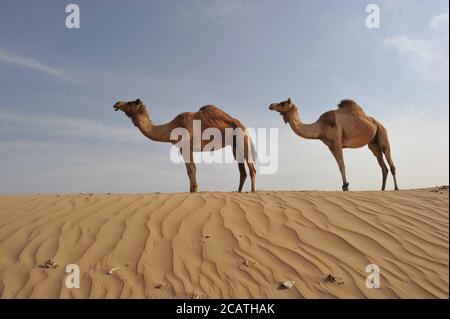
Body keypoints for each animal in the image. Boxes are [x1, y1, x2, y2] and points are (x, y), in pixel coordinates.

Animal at [113, 99, 256, 192]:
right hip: (234, 145)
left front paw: (194, 190)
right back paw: (238, 192)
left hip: (242, 139)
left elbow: (190, 169)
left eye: (130, 102)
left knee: (251, 168)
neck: (171, 128)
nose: (117, 103)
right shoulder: (188, 148)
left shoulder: (184, 145)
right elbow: (192, 168)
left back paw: (253, 191)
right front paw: (194, 189)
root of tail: (242, 125)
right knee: (242, 171)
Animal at [268, 99, 400, 191]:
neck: (321, 127)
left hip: (382, 134)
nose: (271, 105)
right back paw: (382, 189)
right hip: (373, 145)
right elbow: (339, 166)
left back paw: (396, 188)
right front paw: (344, 185)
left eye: (283, 103)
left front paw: (346, 186)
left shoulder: (337, 141)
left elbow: (342, 165)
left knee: (390, 162)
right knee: (383, 166)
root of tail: (378, 123)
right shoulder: (330, 146)